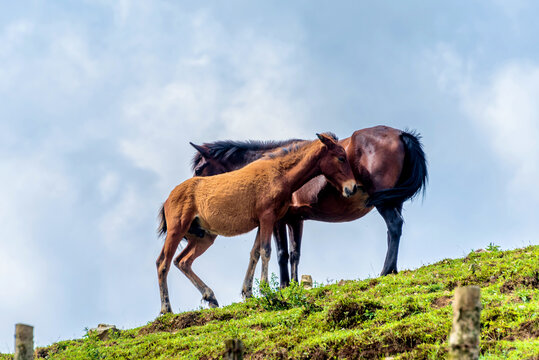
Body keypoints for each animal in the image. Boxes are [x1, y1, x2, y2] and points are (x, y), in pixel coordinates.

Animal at [156, 131, 358, 312]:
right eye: (341, 158)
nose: (352, 188)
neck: (279, 173)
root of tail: (167, 199)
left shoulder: (264, 221)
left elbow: (255, 253)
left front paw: (248, 292)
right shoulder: (268, 217)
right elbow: (266, 251)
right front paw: (266, 290)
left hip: (203, 238)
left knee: (182, 261)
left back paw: (211, 297)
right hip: (177, 229)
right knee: (163, 263)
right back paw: (166, 309)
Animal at [190, 125, 430, 292]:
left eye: (199, 169)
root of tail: (400, 134)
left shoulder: (277, 220)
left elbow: (281, 253)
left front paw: (283, 286)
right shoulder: (296, 219)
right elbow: (295, 253)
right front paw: (293, 284)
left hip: (384, 202)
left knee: (394, 226)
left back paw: (385, 271)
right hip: (393, 200)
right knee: (393, 231)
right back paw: (392, 269)